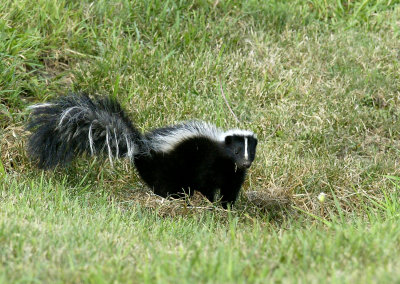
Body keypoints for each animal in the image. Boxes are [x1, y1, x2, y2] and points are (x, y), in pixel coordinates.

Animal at [28, 94, 260, 207]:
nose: (246, 162)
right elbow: (206, 182)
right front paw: (211, 202)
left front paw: (227, 207)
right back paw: (175, 198)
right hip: (167, 166)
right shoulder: (209, 161)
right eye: (237, 151)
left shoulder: (232, 173)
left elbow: (231, 187)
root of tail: (140, 146)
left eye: (251, 152)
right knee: (164, 183)